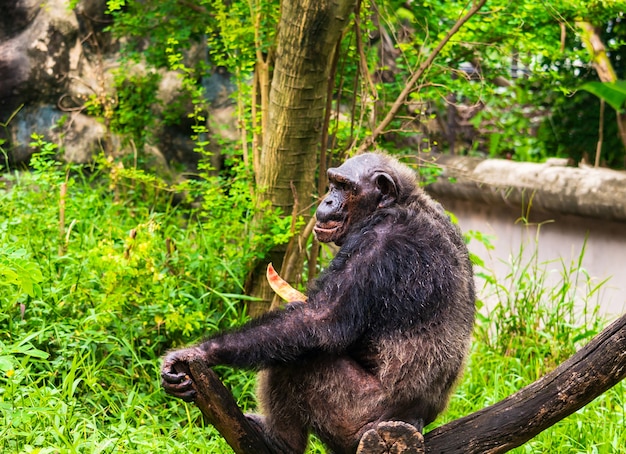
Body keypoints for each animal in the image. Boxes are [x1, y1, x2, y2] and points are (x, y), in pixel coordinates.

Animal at [161, 153, 472, 454]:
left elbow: (321, 320)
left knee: (299, 360)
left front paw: (199, 352)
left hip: (354, 414)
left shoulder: (377, 244)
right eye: (333, 183)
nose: (328, 199)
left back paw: (279, 442)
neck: (401, 204)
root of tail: (415, 424)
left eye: (344, 187)